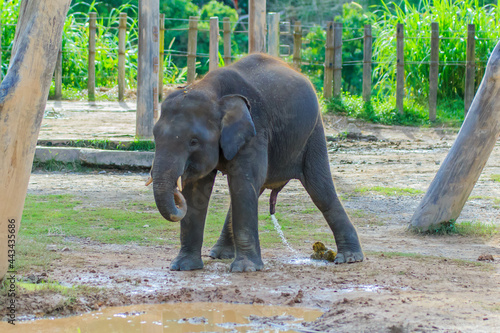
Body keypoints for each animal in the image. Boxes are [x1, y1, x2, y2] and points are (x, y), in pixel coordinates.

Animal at [149, 52, 364, 272]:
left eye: (193, 141)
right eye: (155, 136)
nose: (175, 193)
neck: (209, 89)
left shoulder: (255, 130)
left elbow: (242, 182)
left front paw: (245, 269)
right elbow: (196, 190)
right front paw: (183, 267)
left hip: (313, 133)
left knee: (320, 190)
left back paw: (350, 257)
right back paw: (220, 254)